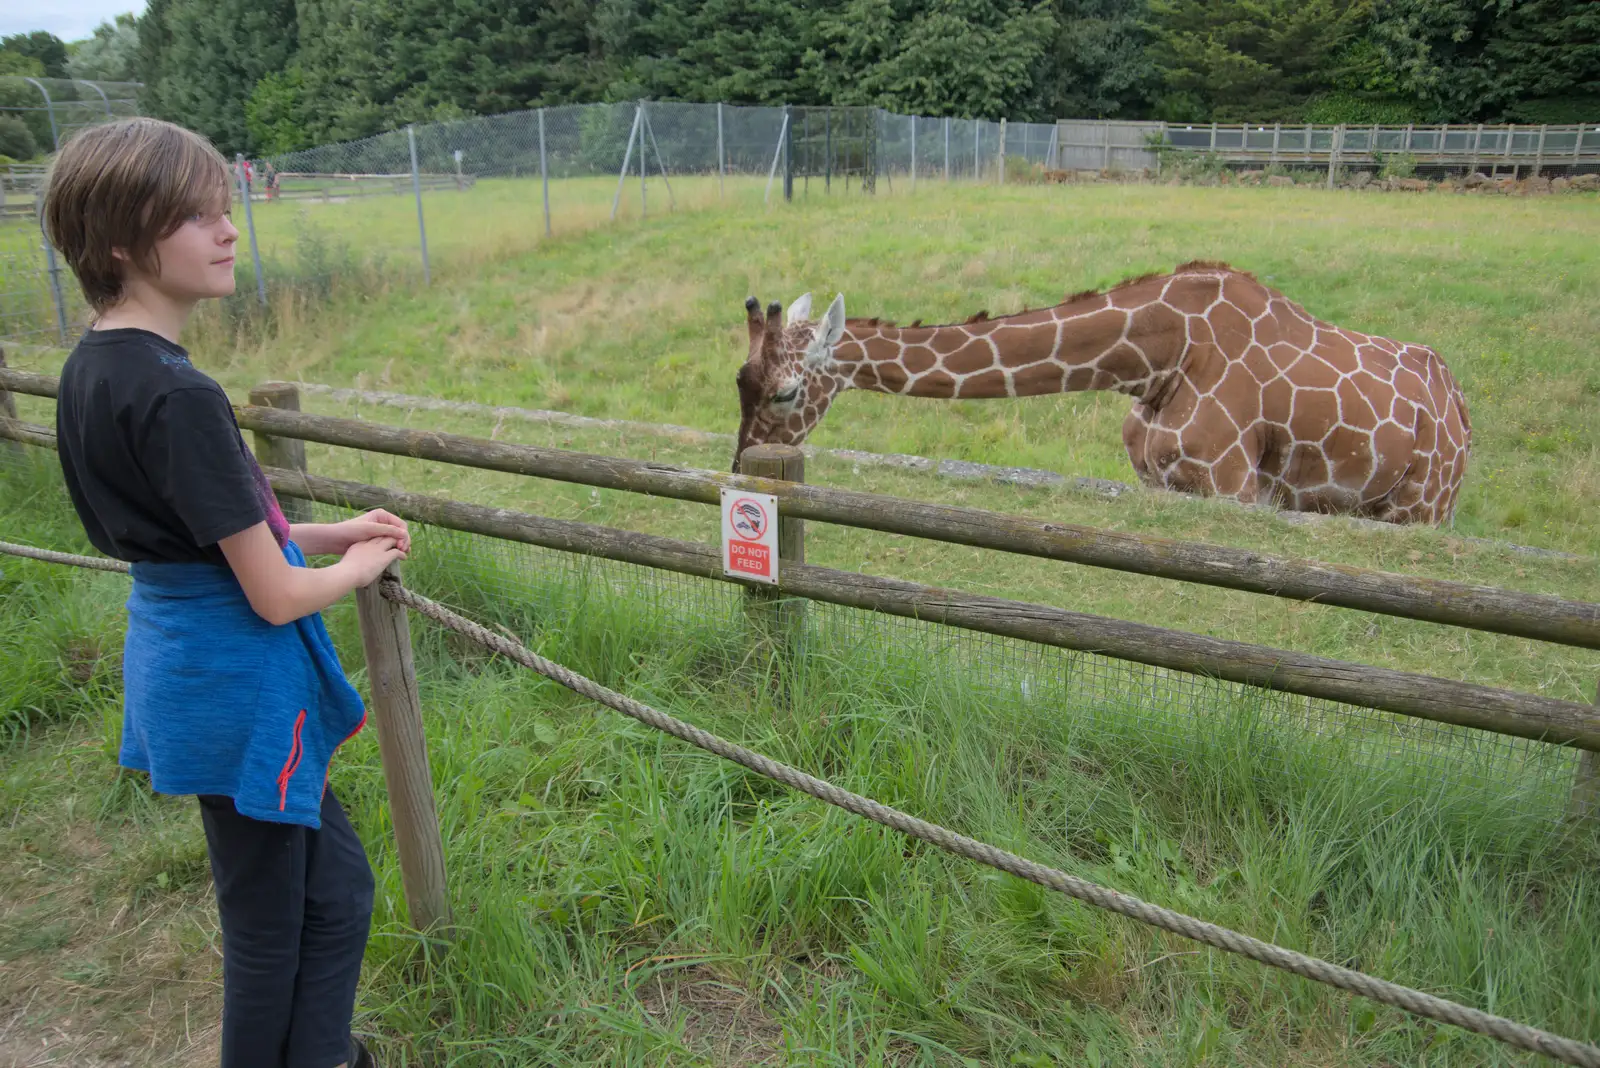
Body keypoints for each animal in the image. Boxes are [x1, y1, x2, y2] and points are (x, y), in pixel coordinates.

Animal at [736, 259, 1472, 524]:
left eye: (785, 393)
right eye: (739, 381)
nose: (741, 467)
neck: (1163, 357)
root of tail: (1458, 407)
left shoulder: (1235, 487)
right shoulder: (1156, 479)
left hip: (1423, 505)